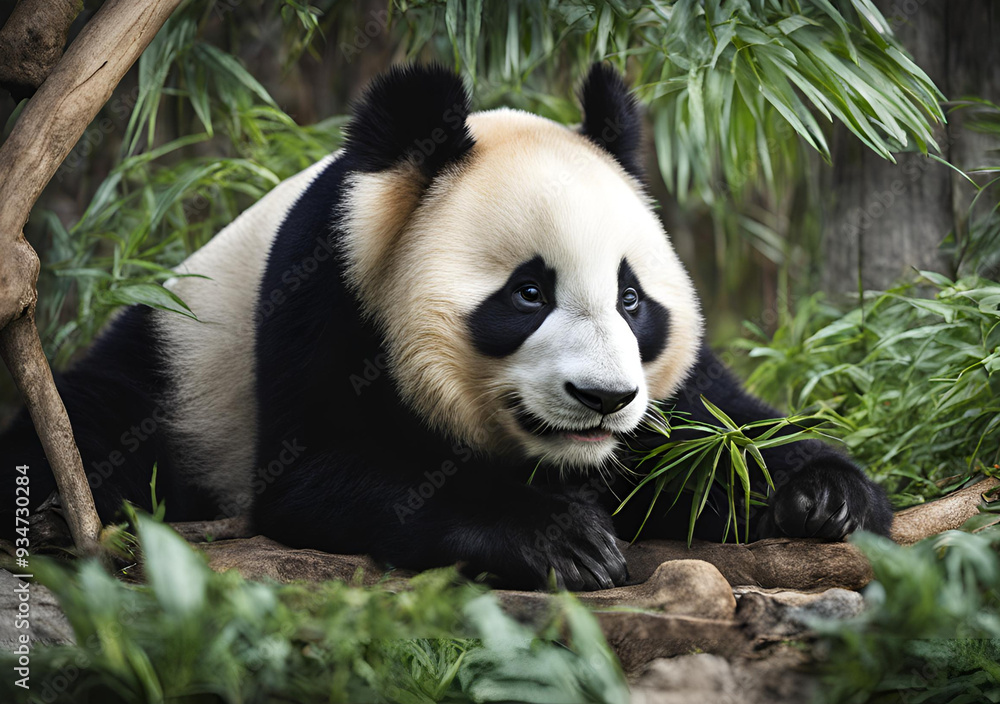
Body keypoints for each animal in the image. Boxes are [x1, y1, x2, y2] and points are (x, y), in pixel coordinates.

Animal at [0, 64, 892, 590]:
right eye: (528, 294)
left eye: (631, 299)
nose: (603, 398)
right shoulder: (331, 302)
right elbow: (322, 476)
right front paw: (565, 541)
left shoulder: (663, 392)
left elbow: (711, 434)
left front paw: (822, 493)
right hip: (169, 366)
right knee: (95, 421)